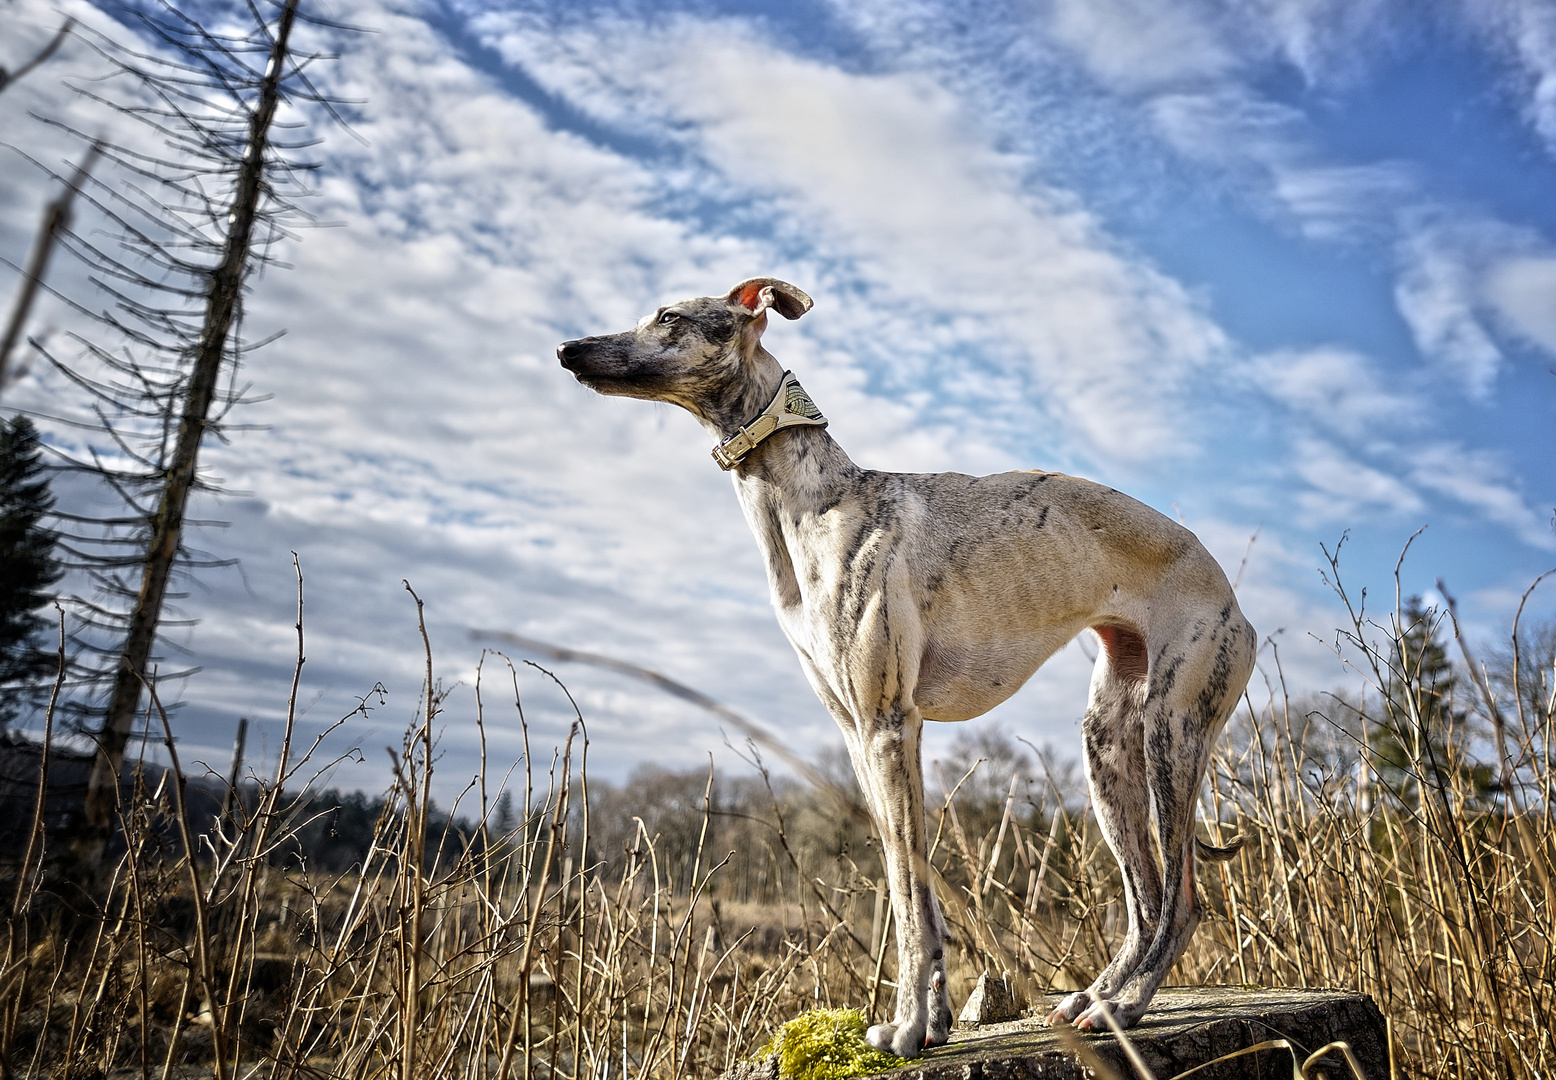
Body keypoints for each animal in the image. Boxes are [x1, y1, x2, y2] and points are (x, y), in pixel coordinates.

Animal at [553, 277, 1257, 1058]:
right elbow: (910, 884)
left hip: (1171, 729)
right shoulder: (862, 735)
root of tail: (1229, 595)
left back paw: (1124, 1009)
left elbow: (904, 895)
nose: (567, 350)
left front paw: (911, 1024)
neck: (812, 503)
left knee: (1182, 901)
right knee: (1145, 900)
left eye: (669, 317)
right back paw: (1096, 998)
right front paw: (936, 1019)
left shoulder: (889, 723)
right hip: (1107, 743)